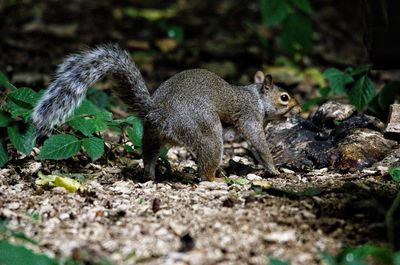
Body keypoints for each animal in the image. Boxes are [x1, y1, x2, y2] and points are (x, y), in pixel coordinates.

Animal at [32, 44, 296, 180]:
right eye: (284, 98)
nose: (297, 110)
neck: (257, 98)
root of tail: (159, 114)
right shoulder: (250, 116)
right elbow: (258, 144)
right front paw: (274, 169)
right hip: (205, 130)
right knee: (206, 167)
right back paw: (216, 179)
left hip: (151, 135)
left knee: (148, 156)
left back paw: (150, 177)